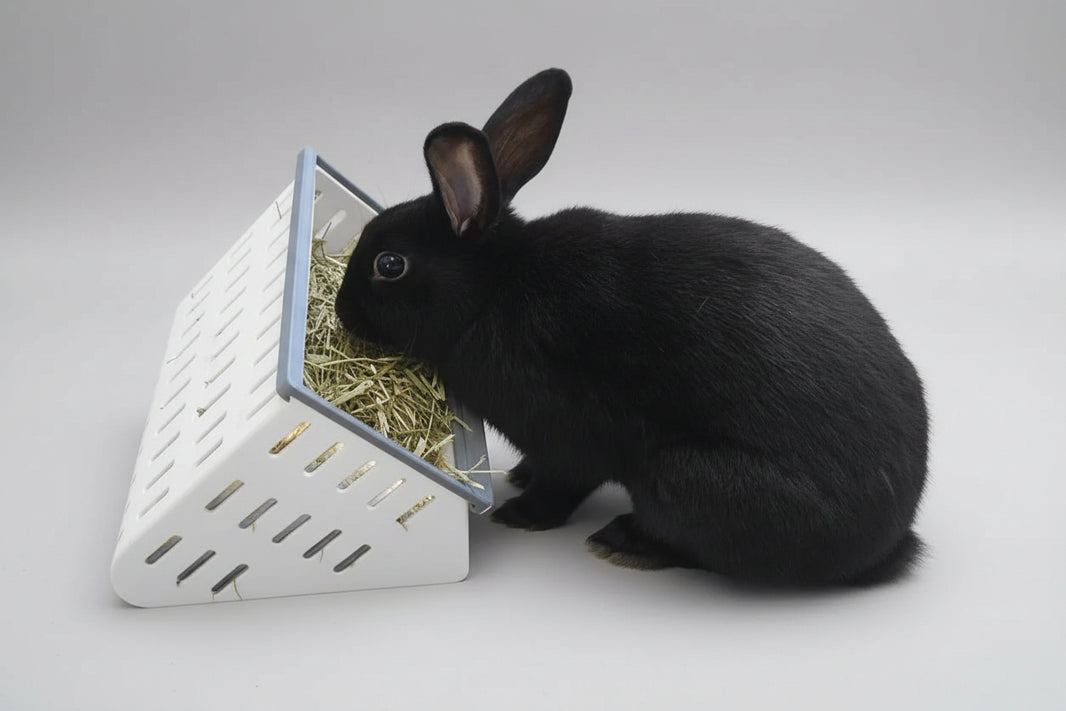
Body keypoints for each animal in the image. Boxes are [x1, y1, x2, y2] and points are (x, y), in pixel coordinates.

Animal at [335, 68, 928, 586]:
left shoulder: (567, 430)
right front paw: (520, 475)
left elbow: (564, 480)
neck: (492, 290)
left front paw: (520, 514)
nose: (341, 311)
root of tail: (892, 541)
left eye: (390, 265)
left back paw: (622, 542)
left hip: (684, 479)